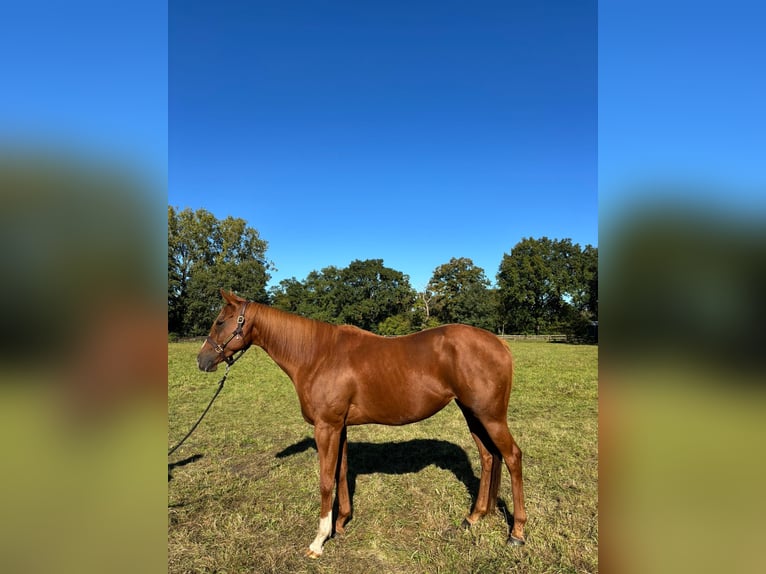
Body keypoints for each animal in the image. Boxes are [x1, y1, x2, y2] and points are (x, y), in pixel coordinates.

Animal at [198, 290, 528, 560]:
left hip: (490, 417)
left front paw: (318, 541)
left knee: (512, 457)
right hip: (473, 414)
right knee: (489, 457)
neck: (317, 355)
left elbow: (325, 480)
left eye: (219, 322)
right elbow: (341, 471)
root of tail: (499, 343)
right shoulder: (339, 427)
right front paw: (342, 523)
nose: (202, 360)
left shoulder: (326, 427)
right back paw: (474, 517)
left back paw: (517, 533)